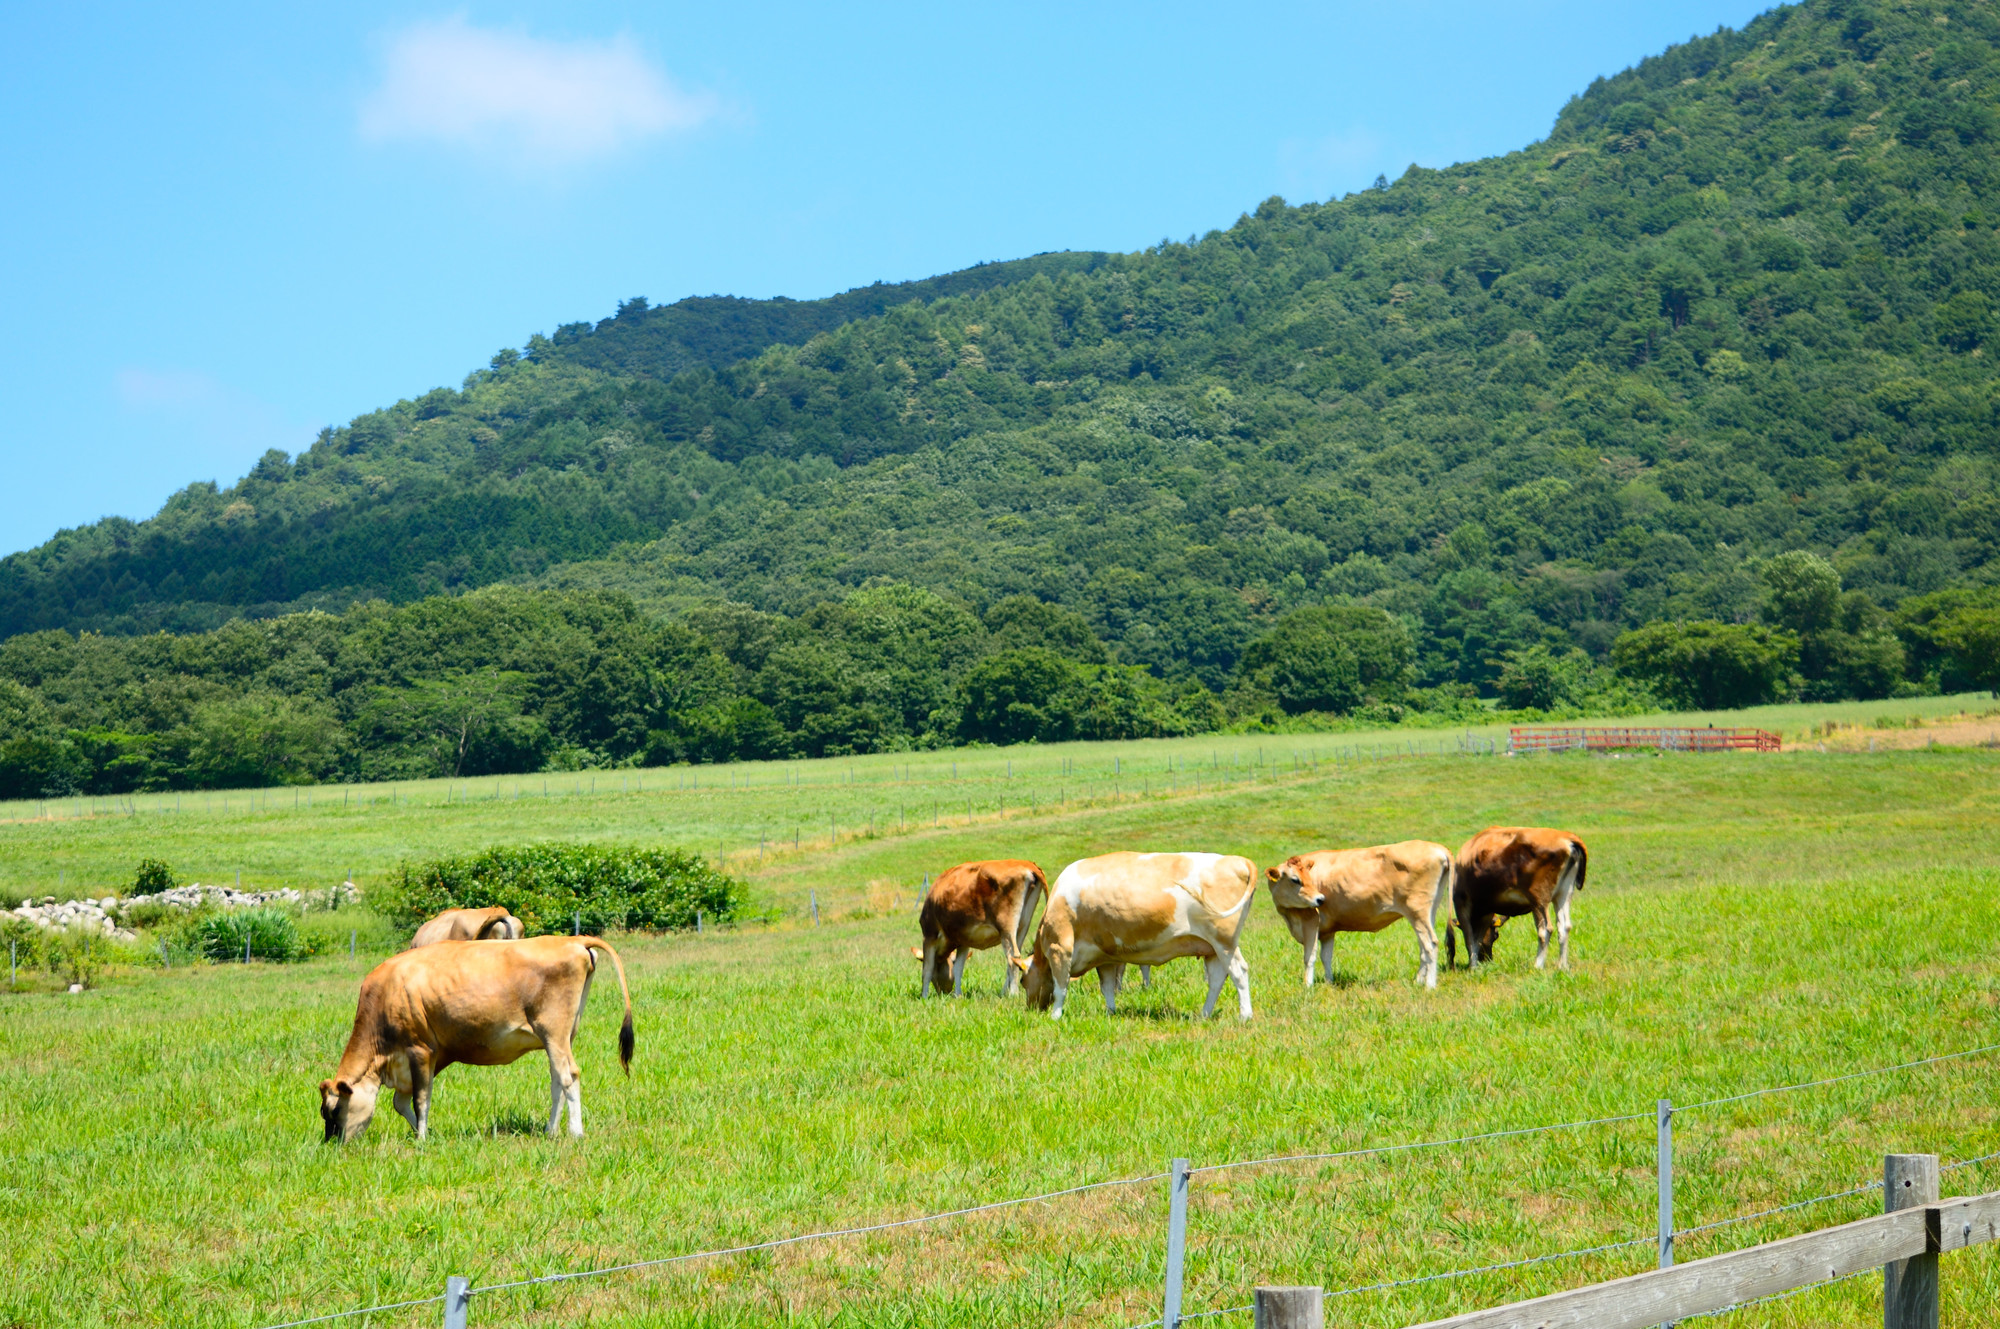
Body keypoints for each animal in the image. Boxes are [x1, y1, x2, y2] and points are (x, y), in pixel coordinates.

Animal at [320, 932, 632, 1144]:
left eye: (334, 1110)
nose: (331, 1144)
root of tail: (573, 939)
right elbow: (401, 1102)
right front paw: (423, 1131)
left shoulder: (420, 1050)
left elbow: (420, 1099)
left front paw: (421, 1138)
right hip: (561, 1035)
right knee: (557, 1078)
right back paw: (550, 1130)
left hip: (553, 1029)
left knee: (569, 1076)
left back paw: (575, 1132)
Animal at [916, 860, 1048, 996]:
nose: (943, 993)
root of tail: (1027, 864)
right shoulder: (964, 940)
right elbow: (958, 968)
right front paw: (958, 995)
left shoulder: (929, 935)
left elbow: (927, 970)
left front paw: (924, 996)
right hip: (1023, 926)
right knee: (1015, 958)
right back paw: (1003, 993)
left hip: (1006, 928)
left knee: (1013, 957)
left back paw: (1013, 993)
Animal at [1024, 852, 1256, 1016]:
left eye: (1023, 981)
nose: (1031, 1009)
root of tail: (1238, 860)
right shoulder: (1104, 957)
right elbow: (1107, 987)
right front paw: (1111, 1013)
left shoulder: (1060, 947)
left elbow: (1060, 987)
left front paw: (1056, 1016)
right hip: (1212, 948)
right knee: (1217, 979)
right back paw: (1204, 1014)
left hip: (1223, 942)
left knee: (1239, 972)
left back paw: (1245, 1016)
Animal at [1264, 840, 1456, 984]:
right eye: (1295, 880)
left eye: (1308, 878)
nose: (1320, 899)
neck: (1289, 916)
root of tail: (1437, 847)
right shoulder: (1328, 930)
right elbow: (1326, 956)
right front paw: (1329, 983)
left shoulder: (1310, 921)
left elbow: (1309, 957)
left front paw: (1308, 986)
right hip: (1428, 911)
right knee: (1423, 947)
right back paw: (1418, 981)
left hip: (1417, 910)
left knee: (1431, 943)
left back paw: (1429, 985)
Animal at [1448, 824, 1584, 972]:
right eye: (1496, 935)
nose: (1486, 960)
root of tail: (1567, 837)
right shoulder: (1487, 910)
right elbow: (1477, 938)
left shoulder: (1461, 901)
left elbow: (1469, 937)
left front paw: (1472, 968)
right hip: (1563, 893)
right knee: (1564, 926)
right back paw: (1562, 966)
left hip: (1539, 897)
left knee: (1545, 929)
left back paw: (1538, 965)